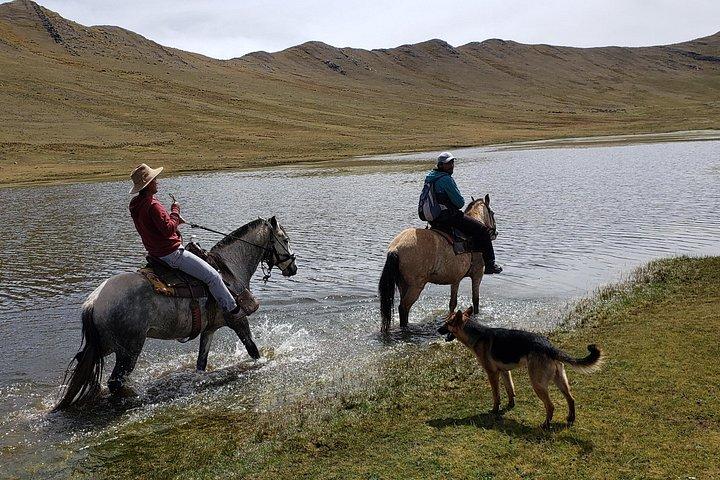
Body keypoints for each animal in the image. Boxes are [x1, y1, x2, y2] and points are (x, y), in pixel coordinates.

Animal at [54, 216, 297, 411]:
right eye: (285, 239)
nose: (293, 268)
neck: (229, 268)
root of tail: (93, 301)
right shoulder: (238, 320)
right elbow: (252, 349)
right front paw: (263, 363)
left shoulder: (209, 330)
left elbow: (201, 362)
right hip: (128, 350)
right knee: (115, 382)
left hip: (104, 346)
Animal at [378, 195, 497, 333]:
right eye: (492, 213)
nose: (495, 233)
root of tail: (395, 248)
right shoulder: (477, 274)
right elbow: (475, 300)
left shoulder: (455, 279)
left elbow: (452, 303)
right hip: (416, 286)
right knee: (404, 307)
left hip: (403, 283)